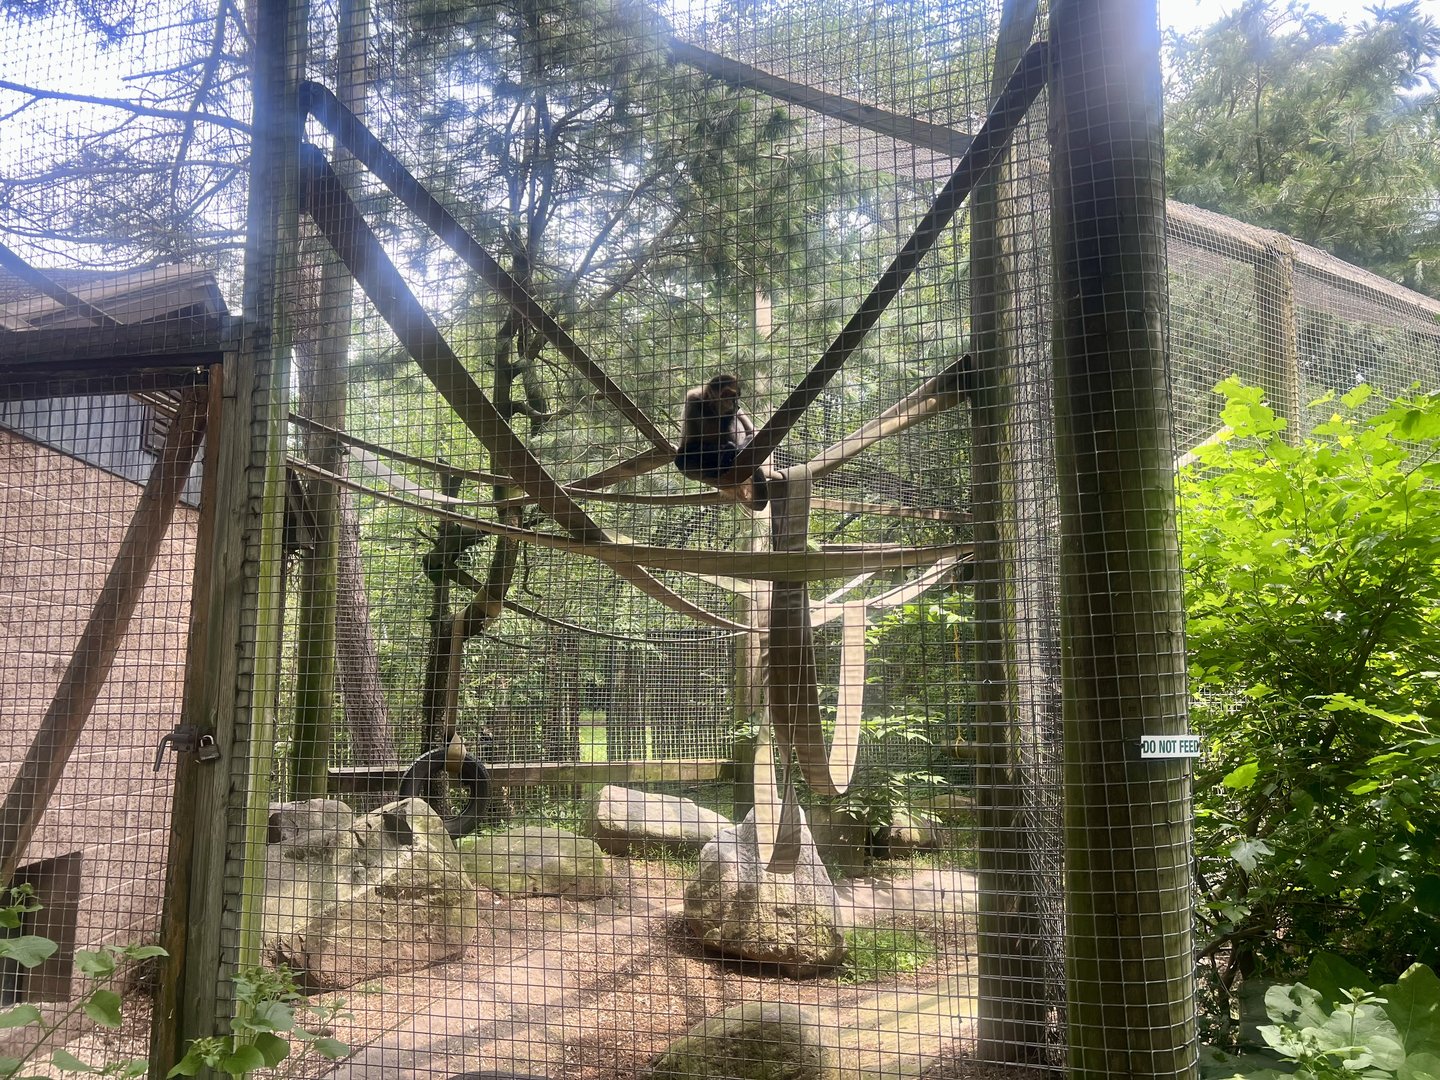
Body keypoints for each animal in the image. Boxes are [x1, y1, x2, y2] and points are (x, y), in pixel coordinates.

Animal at [674, 373, 769, 509]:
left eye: (737, 397)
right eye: (731, 397)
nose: (737, 405)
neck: (712, 411)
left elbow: (753, 433)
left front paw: (731, 450)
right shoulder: (693, 400)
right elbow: (686, 447)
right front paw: (724, 451)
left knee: (730, 419)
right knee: (681, 460)